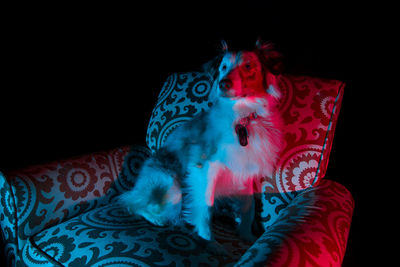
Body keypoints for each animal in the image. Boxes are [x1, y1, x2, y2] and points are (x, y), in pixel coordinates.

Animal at [120, 39, 282, 255]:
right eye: (223, 67)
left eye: (248, 66)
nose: (223, 84)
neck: (242, 118)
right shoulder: (204, 168)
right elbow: (205, 208)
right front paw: (210, 242)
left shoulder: (246, 170)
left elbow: (249, 207)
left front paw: (247, 235)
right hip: (172, 185)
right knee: (134, 204)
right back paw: (157, 218)